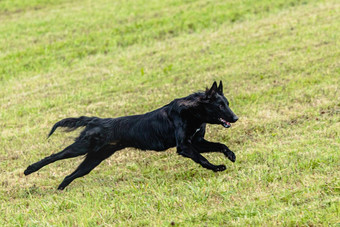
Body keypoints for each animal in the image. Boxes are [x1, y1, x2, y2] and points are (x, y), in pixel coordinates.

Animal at [23, 81, 238, 190]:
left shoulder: (197, 141)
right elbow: (202, 159)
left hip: (94, 159)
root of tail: (98, 120)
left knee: (71, 174)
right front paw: (217, 167)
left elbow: (220, 145)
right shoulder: (185, 146)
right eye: (220, 105)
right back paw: (29, 169)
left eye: (227, 103)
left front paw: (230, 155)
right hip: (82, 147)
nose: (235, 118)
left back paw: (59, 190)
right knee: (53, 156)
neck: (193, 111)